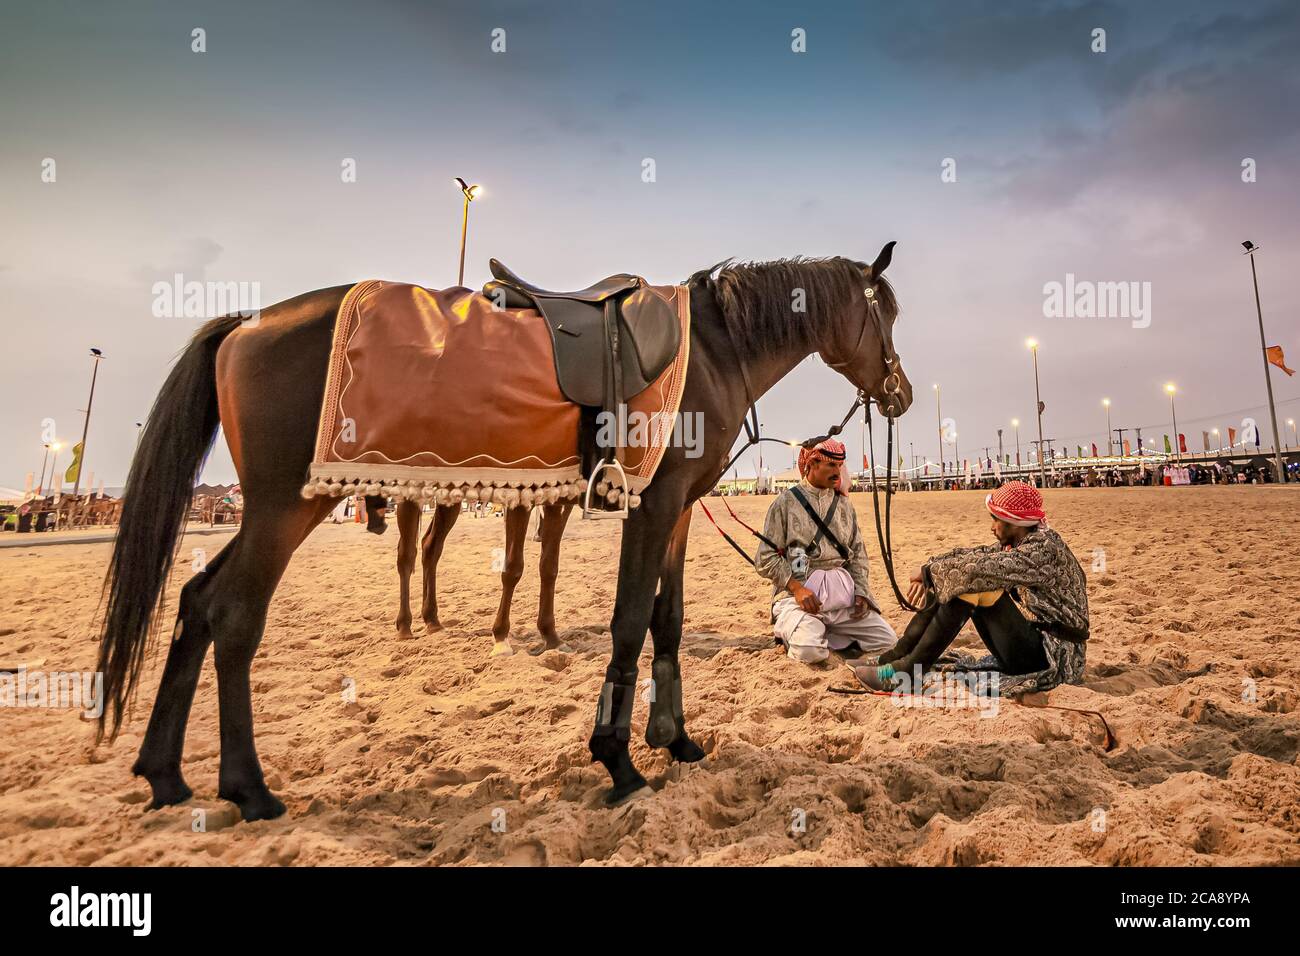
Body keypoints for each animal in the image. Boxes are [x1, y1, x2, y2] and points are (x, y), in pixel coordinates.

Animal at [94, 245, 912, 819]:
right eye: (888, 314)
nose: (900, 392)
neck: (711, 347)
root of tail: (243, 324)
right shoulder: (651, 506)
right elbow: (627, 623)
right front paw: (617, 760)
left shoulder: (679, 507)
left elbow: (669, 621)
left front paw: (675, 740)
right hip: (284, 506)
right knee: (233, 613)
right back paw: (248, 788)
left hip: (270, 508)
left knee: (197, 600)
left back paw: (166, 775)